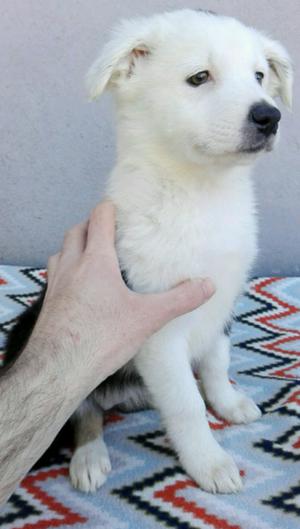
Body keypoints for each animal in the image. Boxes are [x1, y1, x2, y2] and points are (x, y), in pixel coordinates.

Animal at [69, 9, 292, 496]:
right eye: (199, 77)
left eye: (259, 76)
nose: (270, 116)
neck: (200, 193)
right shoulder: (157, 327)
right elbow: (187, 405)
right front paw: (210, 462)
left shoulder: (225, 297)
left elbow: (216, 361)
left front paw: (228, 402)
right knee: (83, 407)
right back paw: (89, 456)